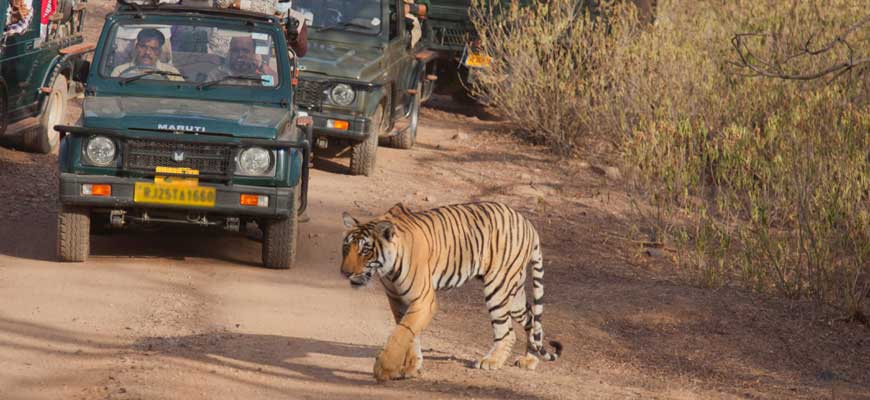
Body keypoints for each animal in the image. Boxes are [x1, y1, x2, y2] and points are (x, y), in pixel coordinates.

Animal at [340, 202, 564, 382]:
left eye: (365, 250)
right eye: (346, 248)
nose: (344, 273)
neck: (388, 270)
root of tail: (527, 223)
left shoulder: (423, 300)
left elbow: (401, 333)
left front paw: (383, 369)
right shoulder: (398, 300)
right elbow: (409, 334)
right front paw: (412, 367)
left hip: (498, 288)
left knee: (507, 331)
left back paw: (491, 361)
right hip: (514, 292)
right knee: (532, 319)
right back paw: (529, 359)